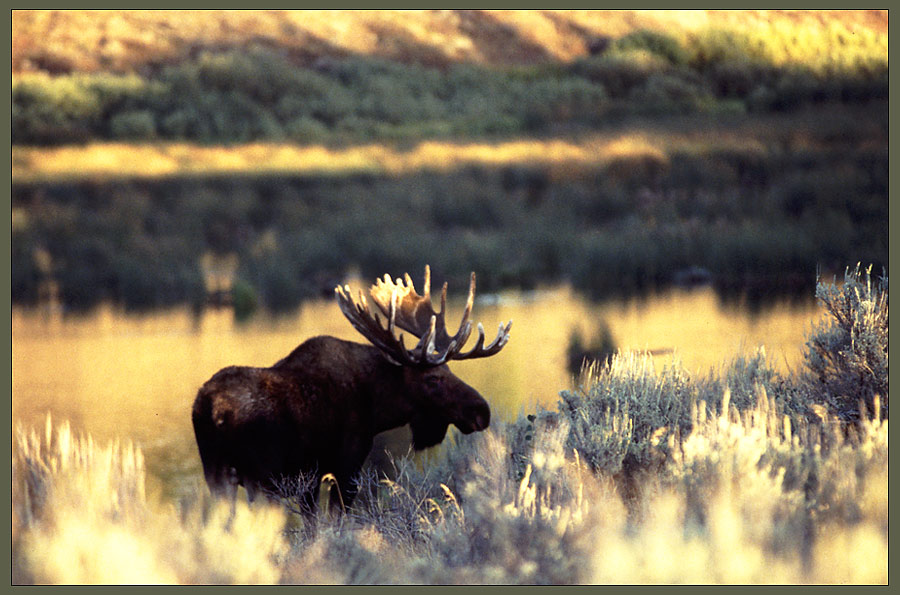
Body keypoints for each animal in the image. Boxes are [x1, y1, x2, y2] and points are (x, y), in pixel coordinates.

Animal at [191, 268, 510, 510]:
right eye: (433, 378)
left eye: (450, 371)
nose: (482, 411)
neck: (378, 408)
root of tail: (209, 409)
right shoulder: (347, 466)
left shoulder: (310, 480)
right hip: (257, 478)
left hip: (217, 475)